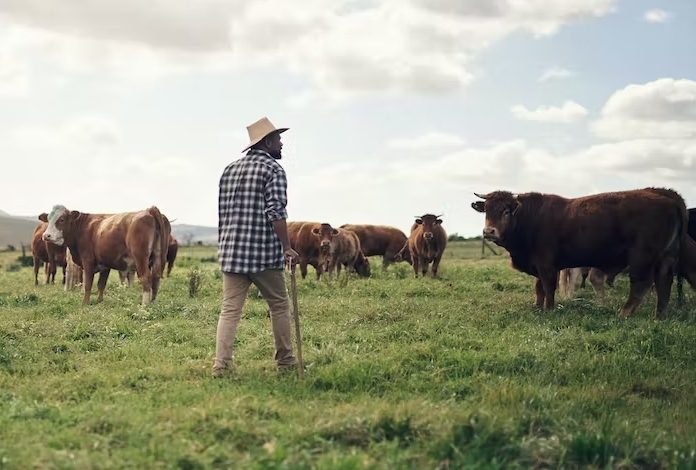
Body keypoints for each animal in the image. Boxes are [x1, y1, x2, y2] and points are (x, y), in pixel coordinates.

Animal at [41, 205, 170, 304]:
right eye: (48, 219)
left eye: (62, 219)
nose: (46, 235)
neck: (82, 227)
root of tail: (149, 210)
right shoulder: (105, 264)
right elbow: (101, 284)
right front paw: (99, 301)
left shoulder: (87, 261)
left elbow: (88, 284)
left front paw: (85, 303)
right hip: (158, 256)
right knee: (156, 278)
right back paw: (153, 302)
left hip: (141, 258)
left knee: (146, 278)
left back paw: (144, 306)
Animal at [470, 188, 692, 320]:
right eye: (487, 210)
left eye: (506, 211)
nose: (489, 231)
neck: (531, 217)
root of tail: (666, 196)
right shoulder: (538, 266)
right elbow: (539, 288)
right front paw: (537, 307)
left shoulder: (547, 265)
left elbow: (548, 288)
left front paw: (548, 310)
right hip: (665, 259)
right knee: (664, 284)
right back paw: (659, 316)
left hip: (642, 258)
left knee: (641, 284)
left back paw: (624, 313)